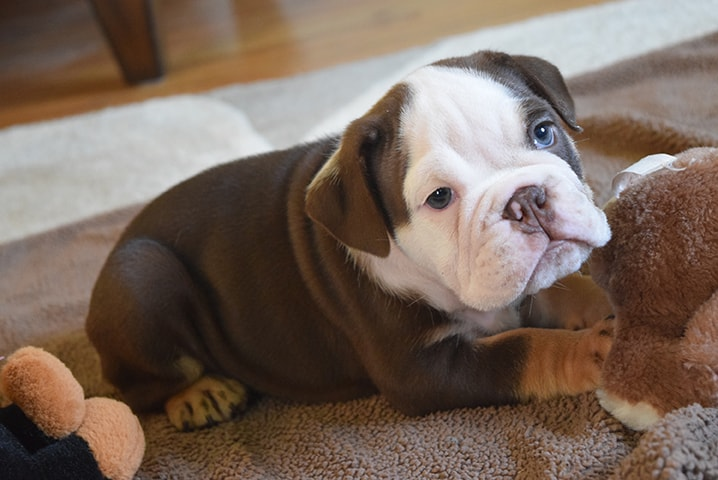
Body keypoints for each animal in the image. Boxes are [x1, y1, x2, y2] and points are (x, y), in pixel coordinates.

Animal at [84, 50, 612, 430]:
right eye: (440, 197)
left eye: (543, 132)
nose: (527, 200)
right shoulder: (423, 371)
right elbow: (526, 348)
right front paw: (593, 351)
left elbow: (564, 287)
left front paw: (604, 300)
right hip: (142, 278)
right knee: (140, 390)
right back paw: (200, 394)